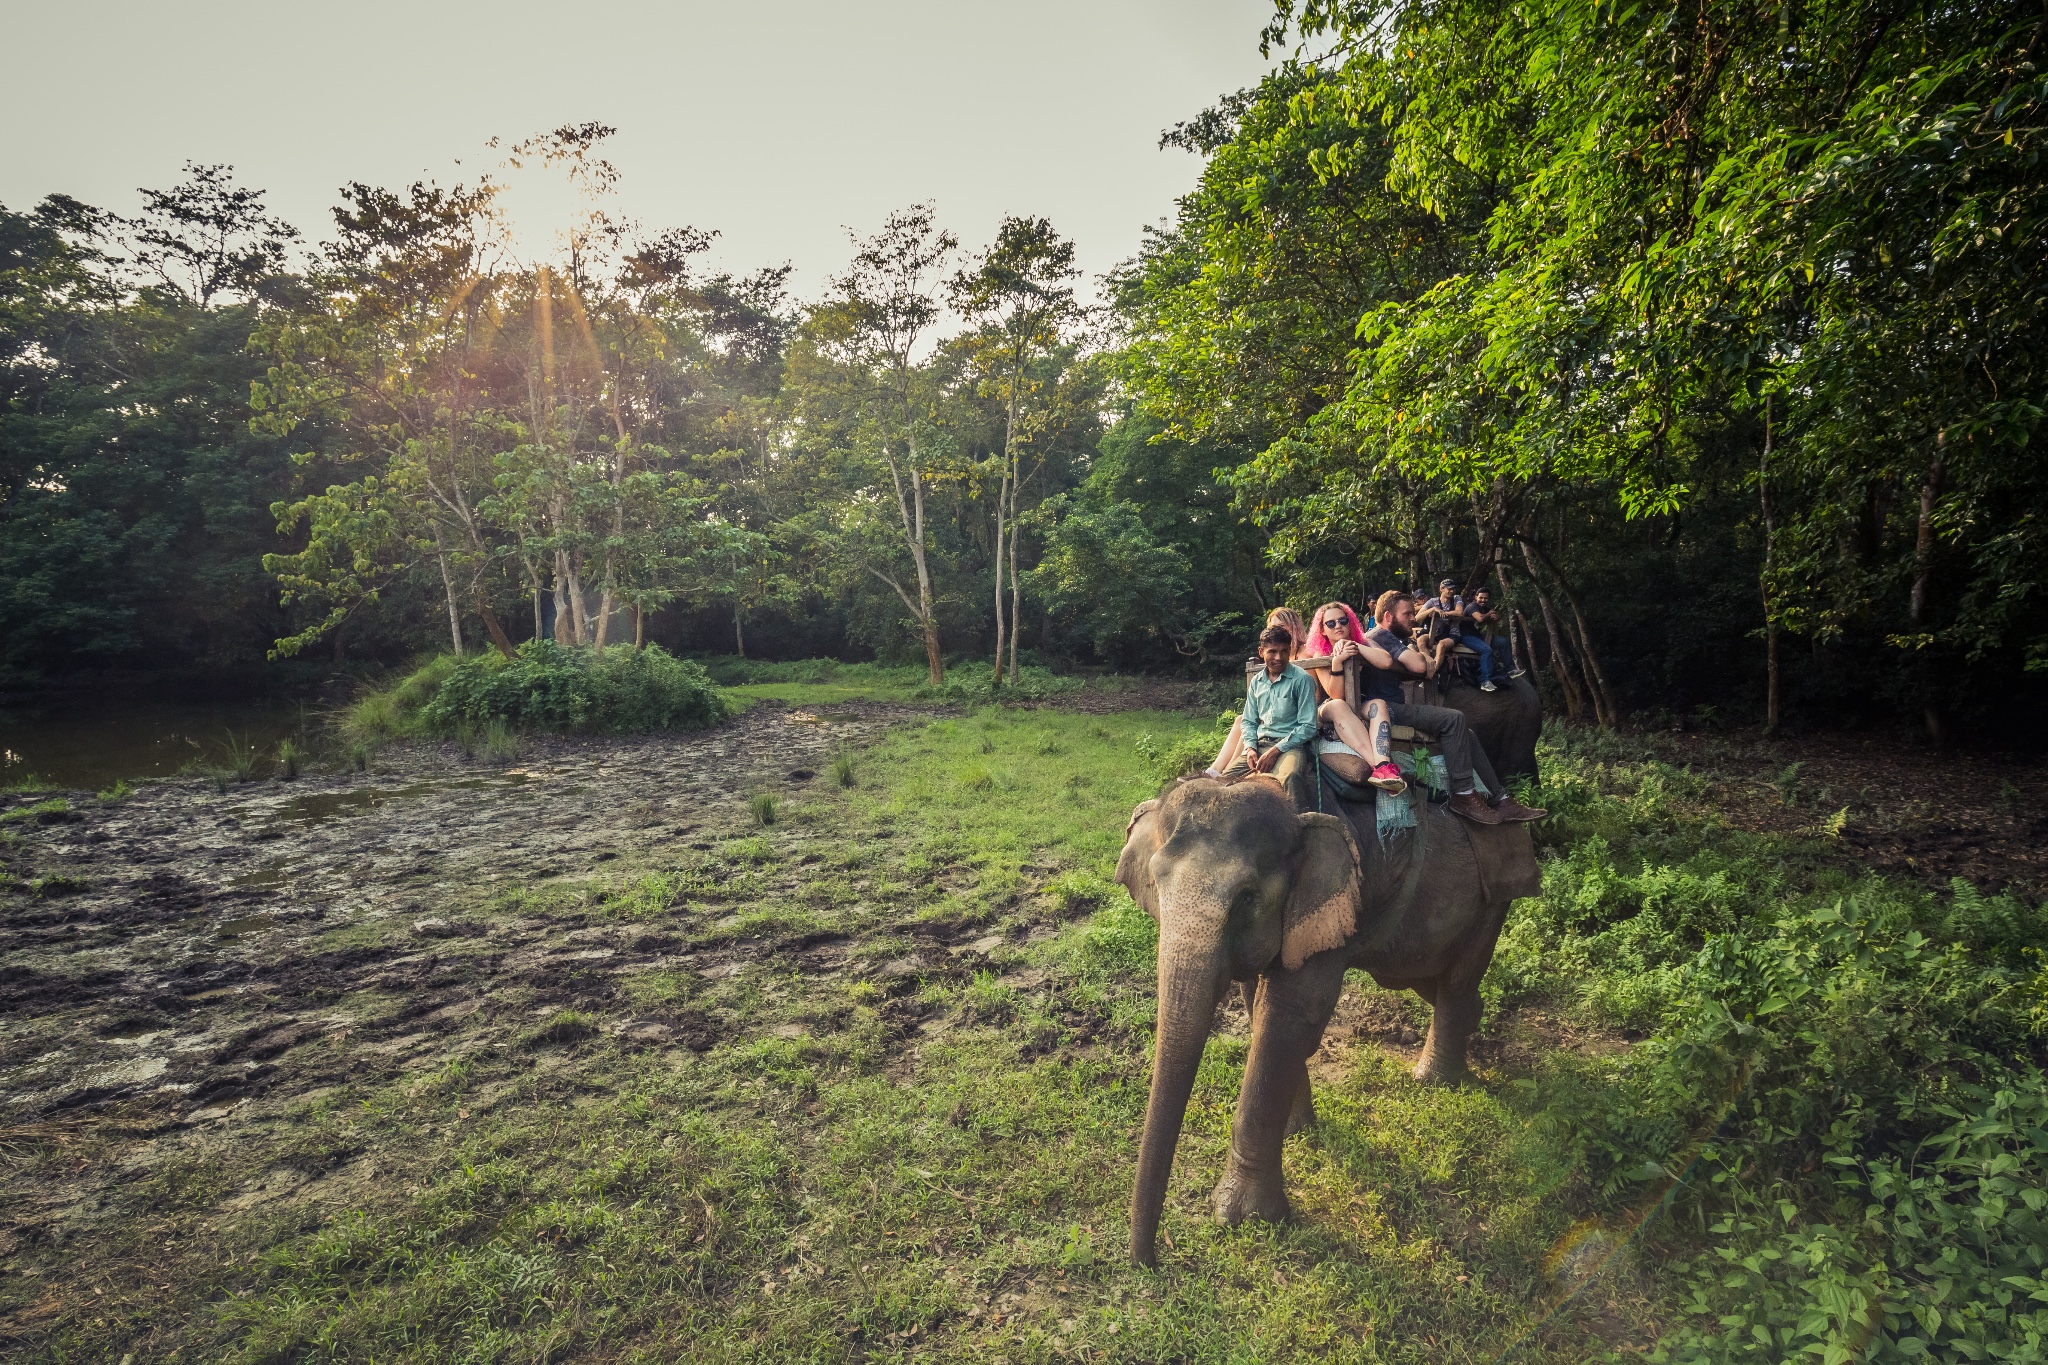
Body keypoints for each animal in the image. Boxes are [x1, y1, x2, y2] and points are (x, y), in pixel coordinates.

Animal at [1114, 773, 1531, 1268]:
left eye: (1247, 897)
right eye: (1155, 885)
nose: (1151, 1262)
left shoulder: (1339, 904)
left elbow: (1290, 1015)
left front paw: (1246, 1219)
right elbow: (1259, 1004)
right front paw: (1297, 1131)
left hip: (1494, 900)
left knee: (1457, 978)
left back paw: (1434, 1080)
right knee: (1427, 976)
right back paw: (1471, 1024)